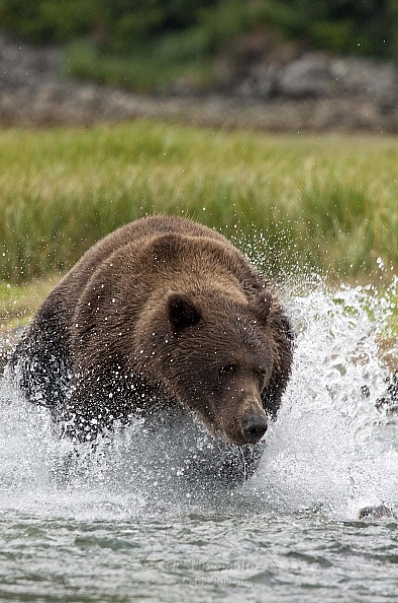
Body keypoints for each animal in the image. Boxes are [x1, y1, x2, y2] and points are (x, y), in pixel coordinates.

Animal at [9, 217, 294, 486]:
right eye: (226, 367)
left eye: (261, 371)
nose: (253, 424)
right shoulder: (113, 360)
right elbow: (86, 420)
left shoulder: (275, 364)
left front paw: (211, 469)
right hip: (54, 333)